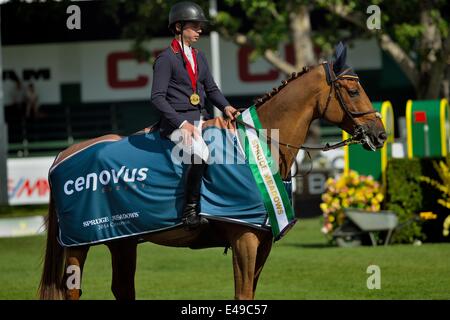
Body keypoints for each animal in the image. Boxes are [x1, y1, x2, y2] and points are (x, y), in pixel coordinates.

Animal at [39, 50, 386, 300]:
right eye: (352, 90)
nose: (379, 135)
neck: (257, 146)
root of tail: (64, 154)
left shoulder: (263, 241)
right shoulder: (244, 238)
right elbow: (242, 296)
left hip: (121, 239)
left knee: (122, 288)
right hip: (79, 244)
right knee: (73, 291)